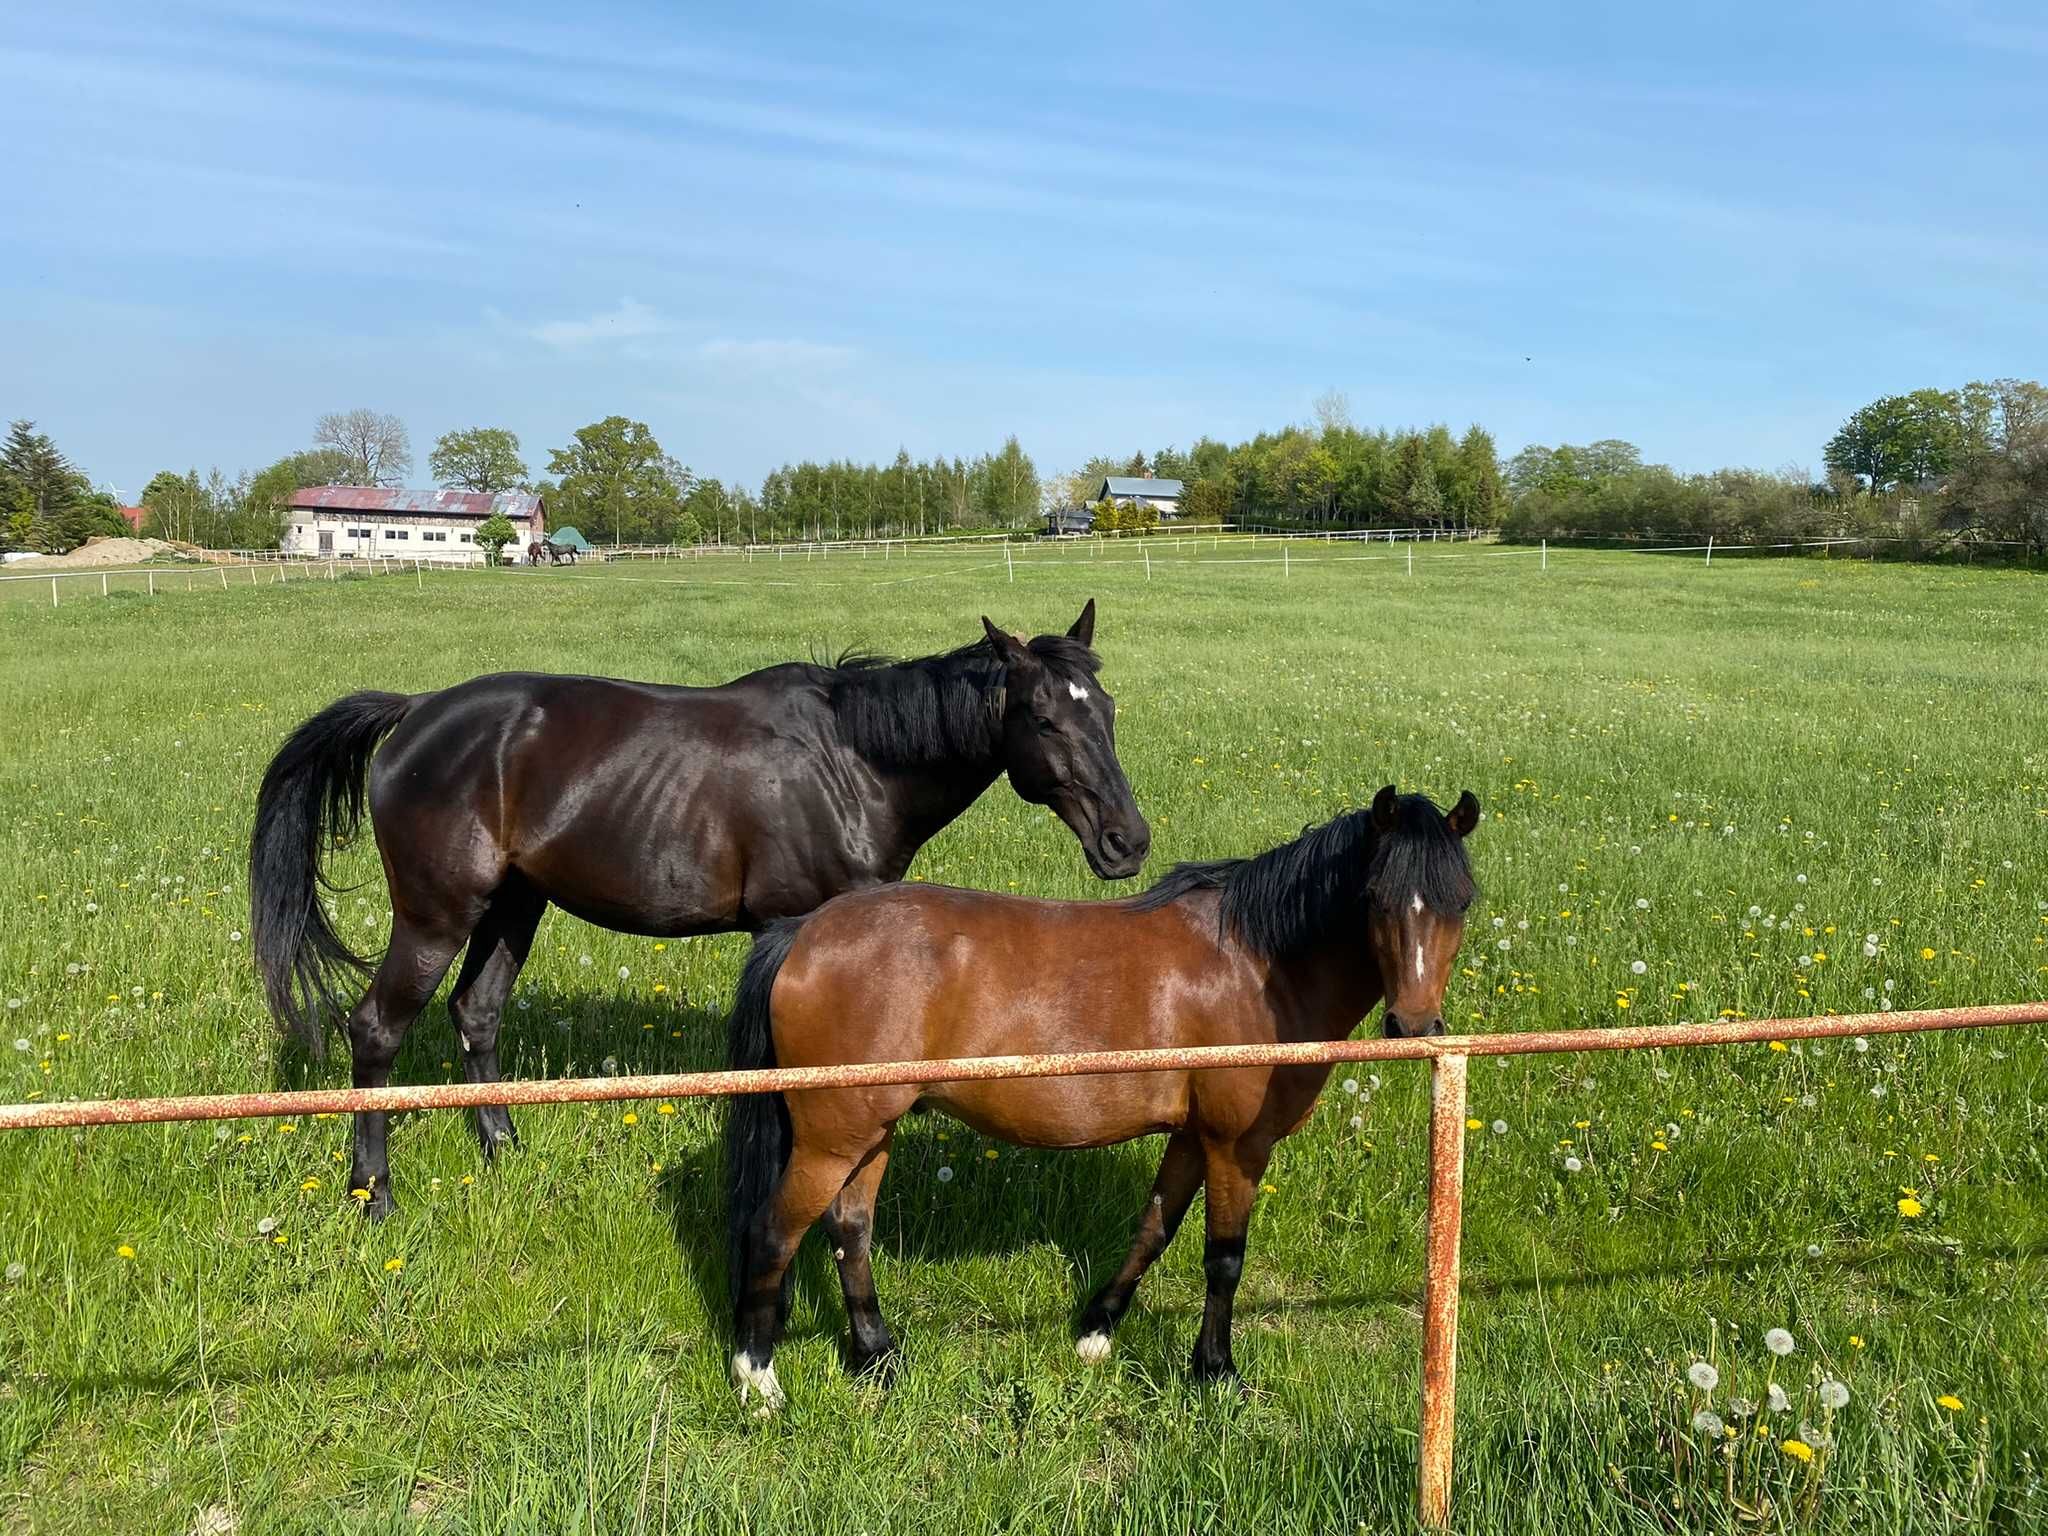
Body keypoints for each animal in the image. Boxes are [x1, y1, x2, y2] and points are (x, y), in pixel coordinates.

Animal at [251, 602, 1155, 1212]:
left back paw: (503, 1147)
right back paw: (373, 1191)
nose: (1128, 841)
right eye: (1041, 716)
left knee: (477, 1014)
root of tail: (414, 713)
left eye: (1107, 711)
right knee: (376, 1030)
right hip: (437, 916)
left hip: (514, 906)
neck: (853, 762)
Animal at [729, 786, 1482, 1417]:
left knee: (849, 1232)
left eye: (1462, 901)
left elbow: (1153, 1229)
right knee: (773, 1233)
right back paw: (758, 1378)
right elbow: (1225, 1258)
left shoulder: (1192, 1137)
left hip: (870, 1132)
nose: (1415, 1026)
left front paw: (1096, 1332)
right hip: (832, 1138)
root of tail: (803, 933)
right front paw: (1216, 1372)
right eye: (1375, 897)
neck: (1258, 965)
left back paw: (877, 1357)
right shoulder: (1237, 1145)